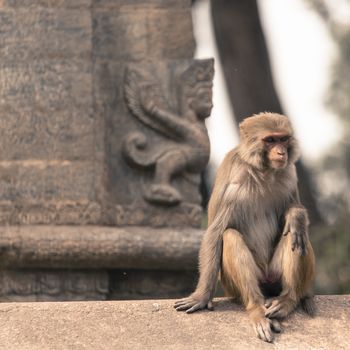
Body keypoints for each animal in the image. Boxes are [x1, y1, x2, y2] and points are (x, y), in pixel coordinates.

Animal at [176, 113, 316, 344]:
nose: (281, 152)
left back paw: (288, 299)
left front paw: (295, 216)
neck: (264, 171)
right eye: (270, 140)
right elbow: (215, 233)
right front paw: (201, 296)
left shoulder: (289, 173)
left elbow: (293, 210)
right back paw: (257, 309)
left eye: (283, 139)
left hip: (275, 277)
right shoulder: (234, 181)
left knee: (297, 236)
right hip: (236, 284)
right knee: (230, 236)